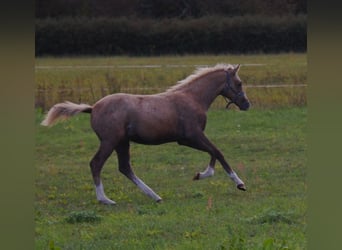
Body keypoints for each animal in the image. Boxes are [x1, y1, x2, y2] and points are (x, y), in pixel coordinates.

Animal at [42, 64, 251, 205]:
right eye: (239, 83)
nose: (247, 105)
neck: (192, 99)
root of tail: (92, 108)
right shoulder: (191, 137)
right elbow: (218, 152)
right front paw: (238, 183)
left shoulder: (190, 139)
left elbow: (213, 153)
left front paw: (200, 174)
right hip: (110, 141)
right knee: (96, 163)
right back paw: (105, 199)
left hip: (122, 142)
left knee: (125, 167)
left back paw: (155, 196)